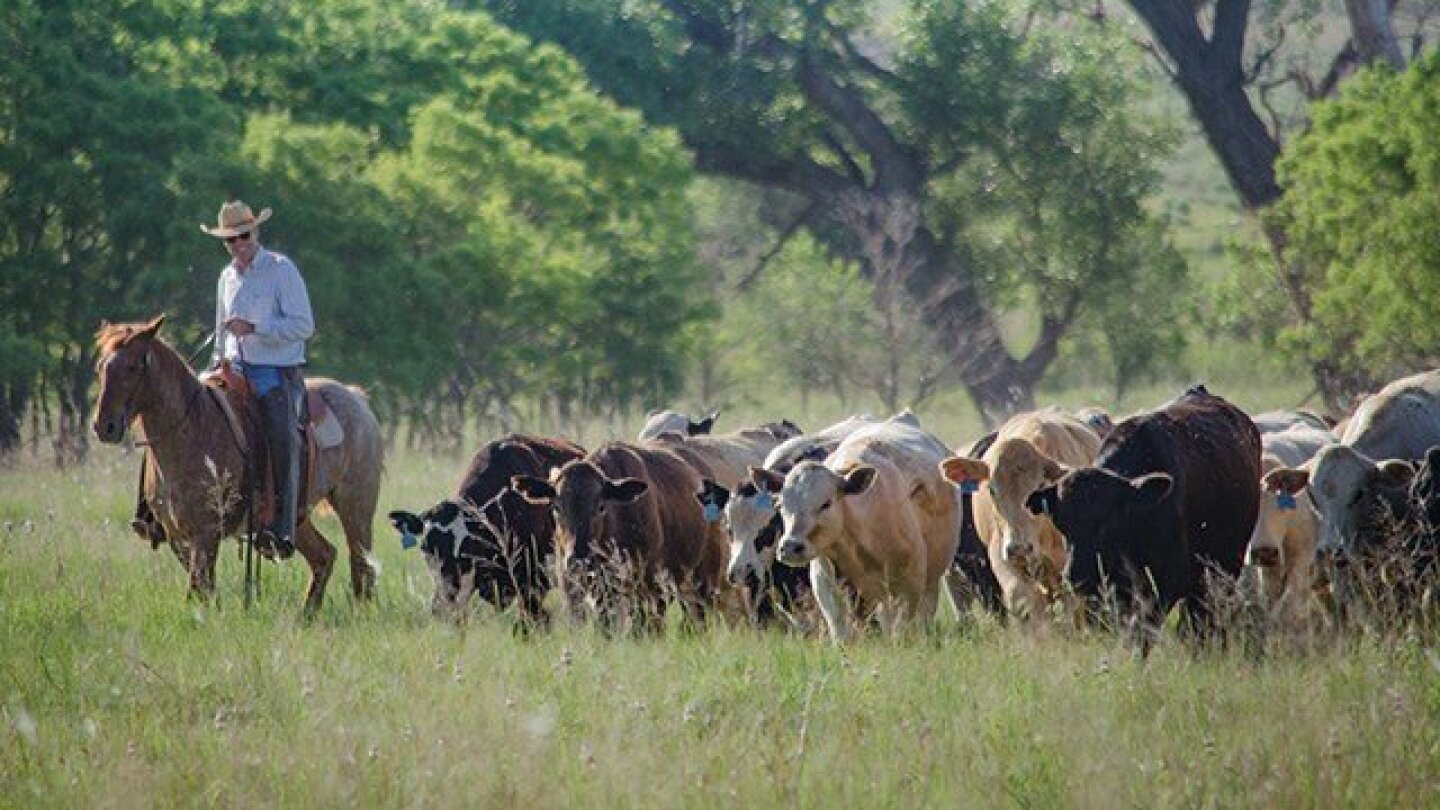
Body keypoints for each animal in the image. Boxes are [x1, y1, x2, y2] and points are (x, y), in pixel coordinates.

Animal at [89, 312, 383, 608]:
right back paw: (306, 614)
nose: (105, 427)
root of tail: (356, 397)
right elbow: (205, 589)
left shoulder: (205, 531)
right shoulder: (177, 536)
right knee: (325, 556)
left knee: (361, 565)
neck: (194, 428)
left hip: (356, 507)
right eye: (101, 367)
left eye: (132, 367)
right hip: (295, 520)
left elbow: (197, 590)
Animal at [754, 417, 956, 639]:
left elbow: (901, 631)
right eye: (780, 505)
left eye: (826, 503)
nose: (790, 547)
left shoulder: (908, 588)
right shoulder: (827, 587)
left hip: (929, 583)